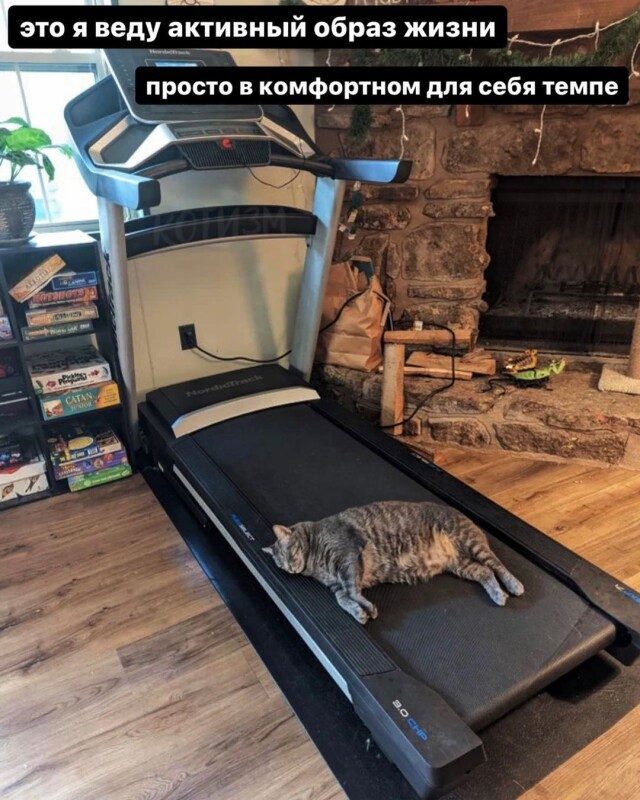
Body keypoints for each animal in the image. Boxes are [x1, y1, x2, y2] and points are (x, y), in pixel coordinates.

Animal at [263, 500, 524, 624]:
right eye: (281, 565)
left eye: (289, 553)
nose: (290, 568)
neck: (314, 564)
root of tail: (464, 513)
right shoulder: (336, 585)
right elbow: (342, 600)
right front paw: (357, 612)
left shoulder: (347, 558)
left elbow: (352, 591)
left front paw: (367, 608)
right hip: (461, 565)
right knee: (485, 572)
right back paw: (497, 594)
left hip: (469, 541)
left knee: (496, 564)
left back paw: (513, 585)